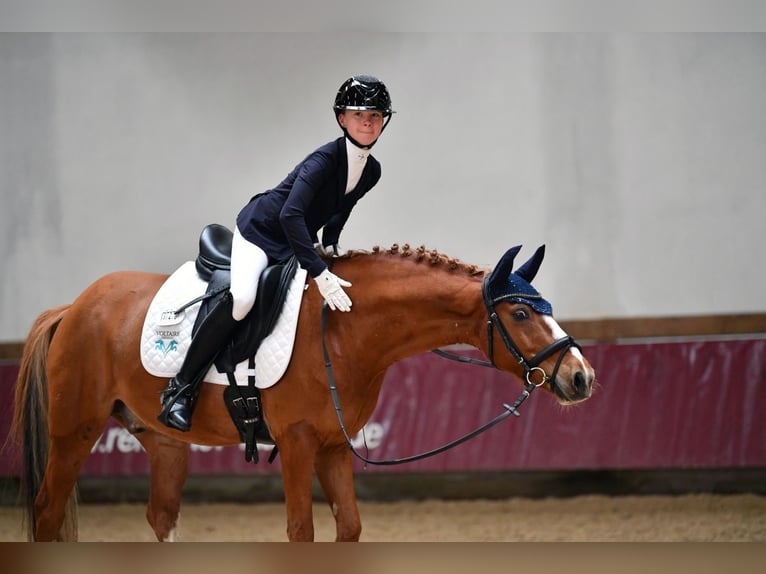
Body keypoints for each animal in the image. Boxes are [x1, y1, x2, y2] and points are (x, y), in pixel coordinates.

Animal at [10, 243, 592, 544]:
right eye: (521, 314)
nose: (580, 376)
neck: (342, 329)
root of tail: (74, 307)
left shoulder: (333, 448)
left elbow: (349, 527)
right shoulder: (296, 444)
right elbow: (300, 531)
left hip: (163, 442)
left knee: (161, 516)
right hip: (74, 433)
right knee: (47, 512)